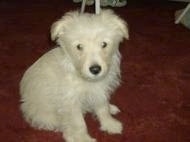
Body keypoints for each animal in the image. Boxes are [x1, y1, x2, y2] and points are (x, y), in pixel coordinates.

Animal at [20, 10, 128, 142]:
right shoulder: (71, 102)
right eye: (79, 47)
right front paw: (82, 138)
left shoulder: (100, 91)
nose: (95, 69)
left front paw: (110, 124)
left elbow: (103, 109)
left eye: (104, 44)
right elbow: (79, 123)